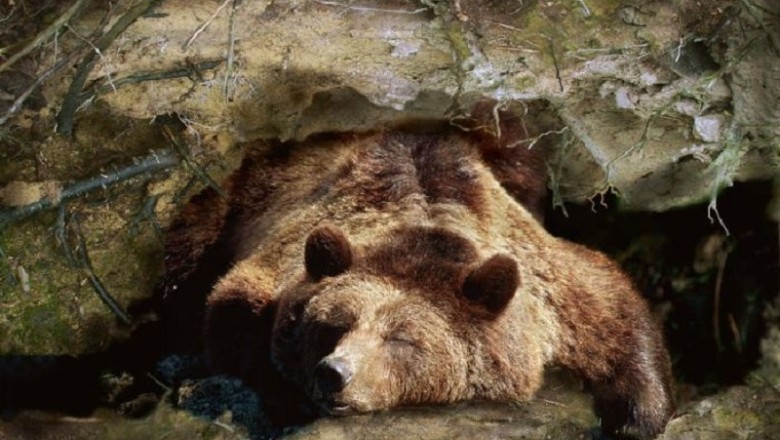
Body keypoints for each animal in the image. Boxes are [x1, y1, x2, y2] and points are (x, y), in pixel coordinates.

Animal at [158, 103, 674, 438]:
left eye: (402, 339)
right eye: (332, 324)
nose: (335, 373)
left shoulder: (544, 281)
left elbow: (611, 306)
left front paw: (636, 416)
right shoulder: (283, 249)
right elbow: (234, 306)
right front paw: (287, 394)